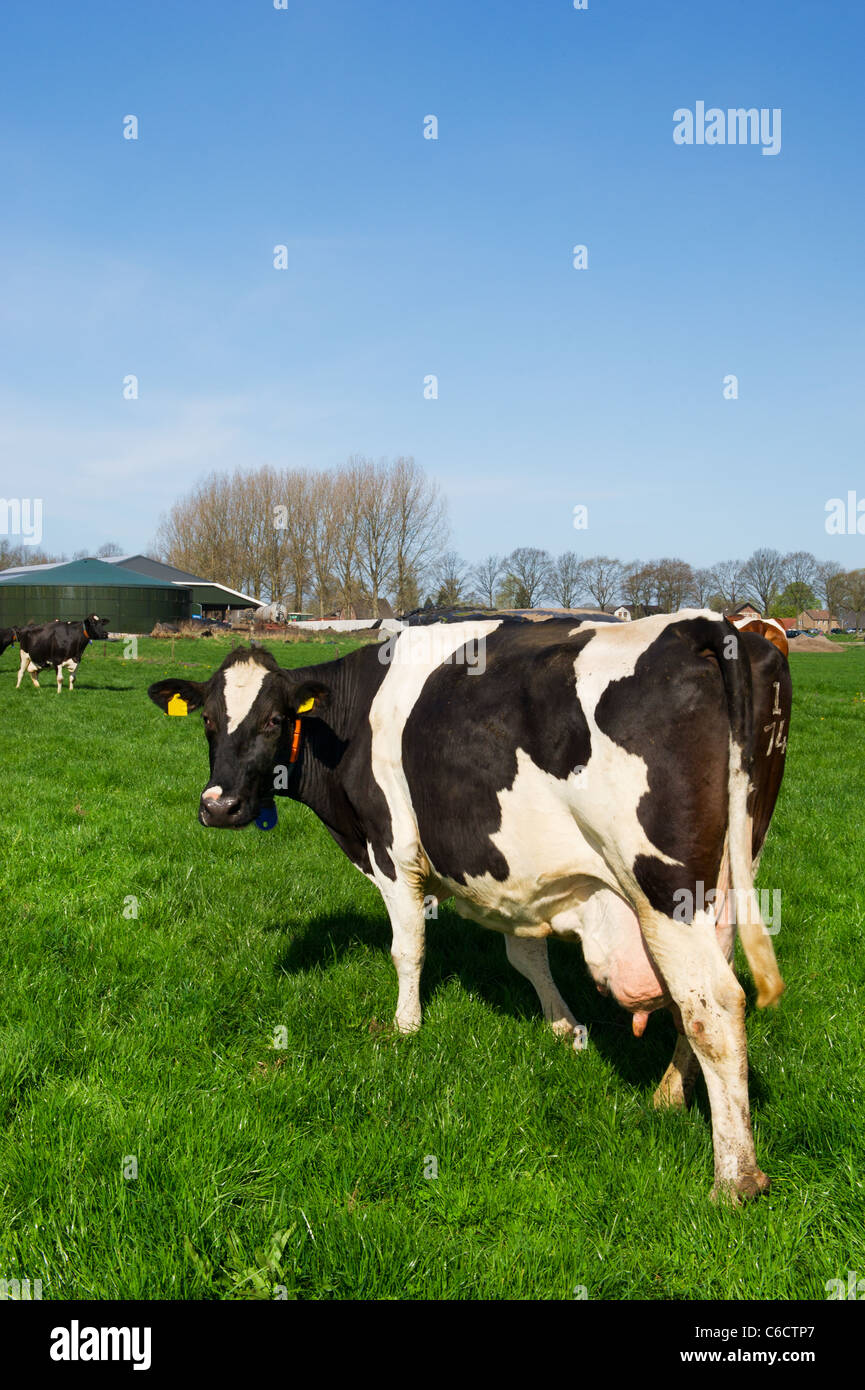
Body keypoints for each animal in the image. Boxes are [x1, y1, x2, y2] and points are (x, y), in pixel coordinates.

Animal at [147, 610, 791, 1201]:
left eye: (275, 720)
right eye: (208, 720)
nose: (219, 806)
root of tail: (700, 625)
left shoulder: (392, 849)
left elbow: (407, 948)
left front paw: (406, 1027)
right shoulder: (510, 875)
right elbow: (526, 958)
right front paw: (566, 1028)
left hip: (664, 887)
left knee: (712, 1005)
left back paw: (735, 1177)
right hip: (731, 872)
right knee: (702, 994)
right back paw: (668, 1095)